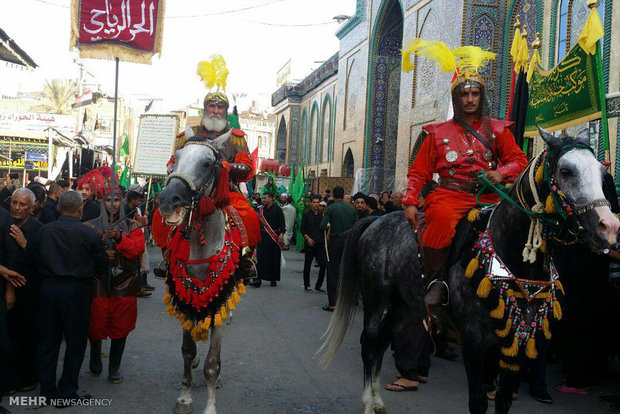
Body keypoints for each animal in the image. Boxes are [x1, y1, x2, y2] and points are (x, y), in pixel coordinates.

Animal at [320, 128, 620, 412]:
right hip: (376, 297)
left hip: (403, 303)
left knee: (382, 343)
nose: (608, 227)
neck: (511, 254)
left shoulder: (518, 338)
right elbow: (477, 401)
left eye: (602, 172)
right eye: (566, 171)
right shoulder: (474, 337)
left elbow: (503, 401)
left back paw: (378, 402)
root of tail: (376, 220)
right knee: (369, 343)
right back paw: (368, 403)